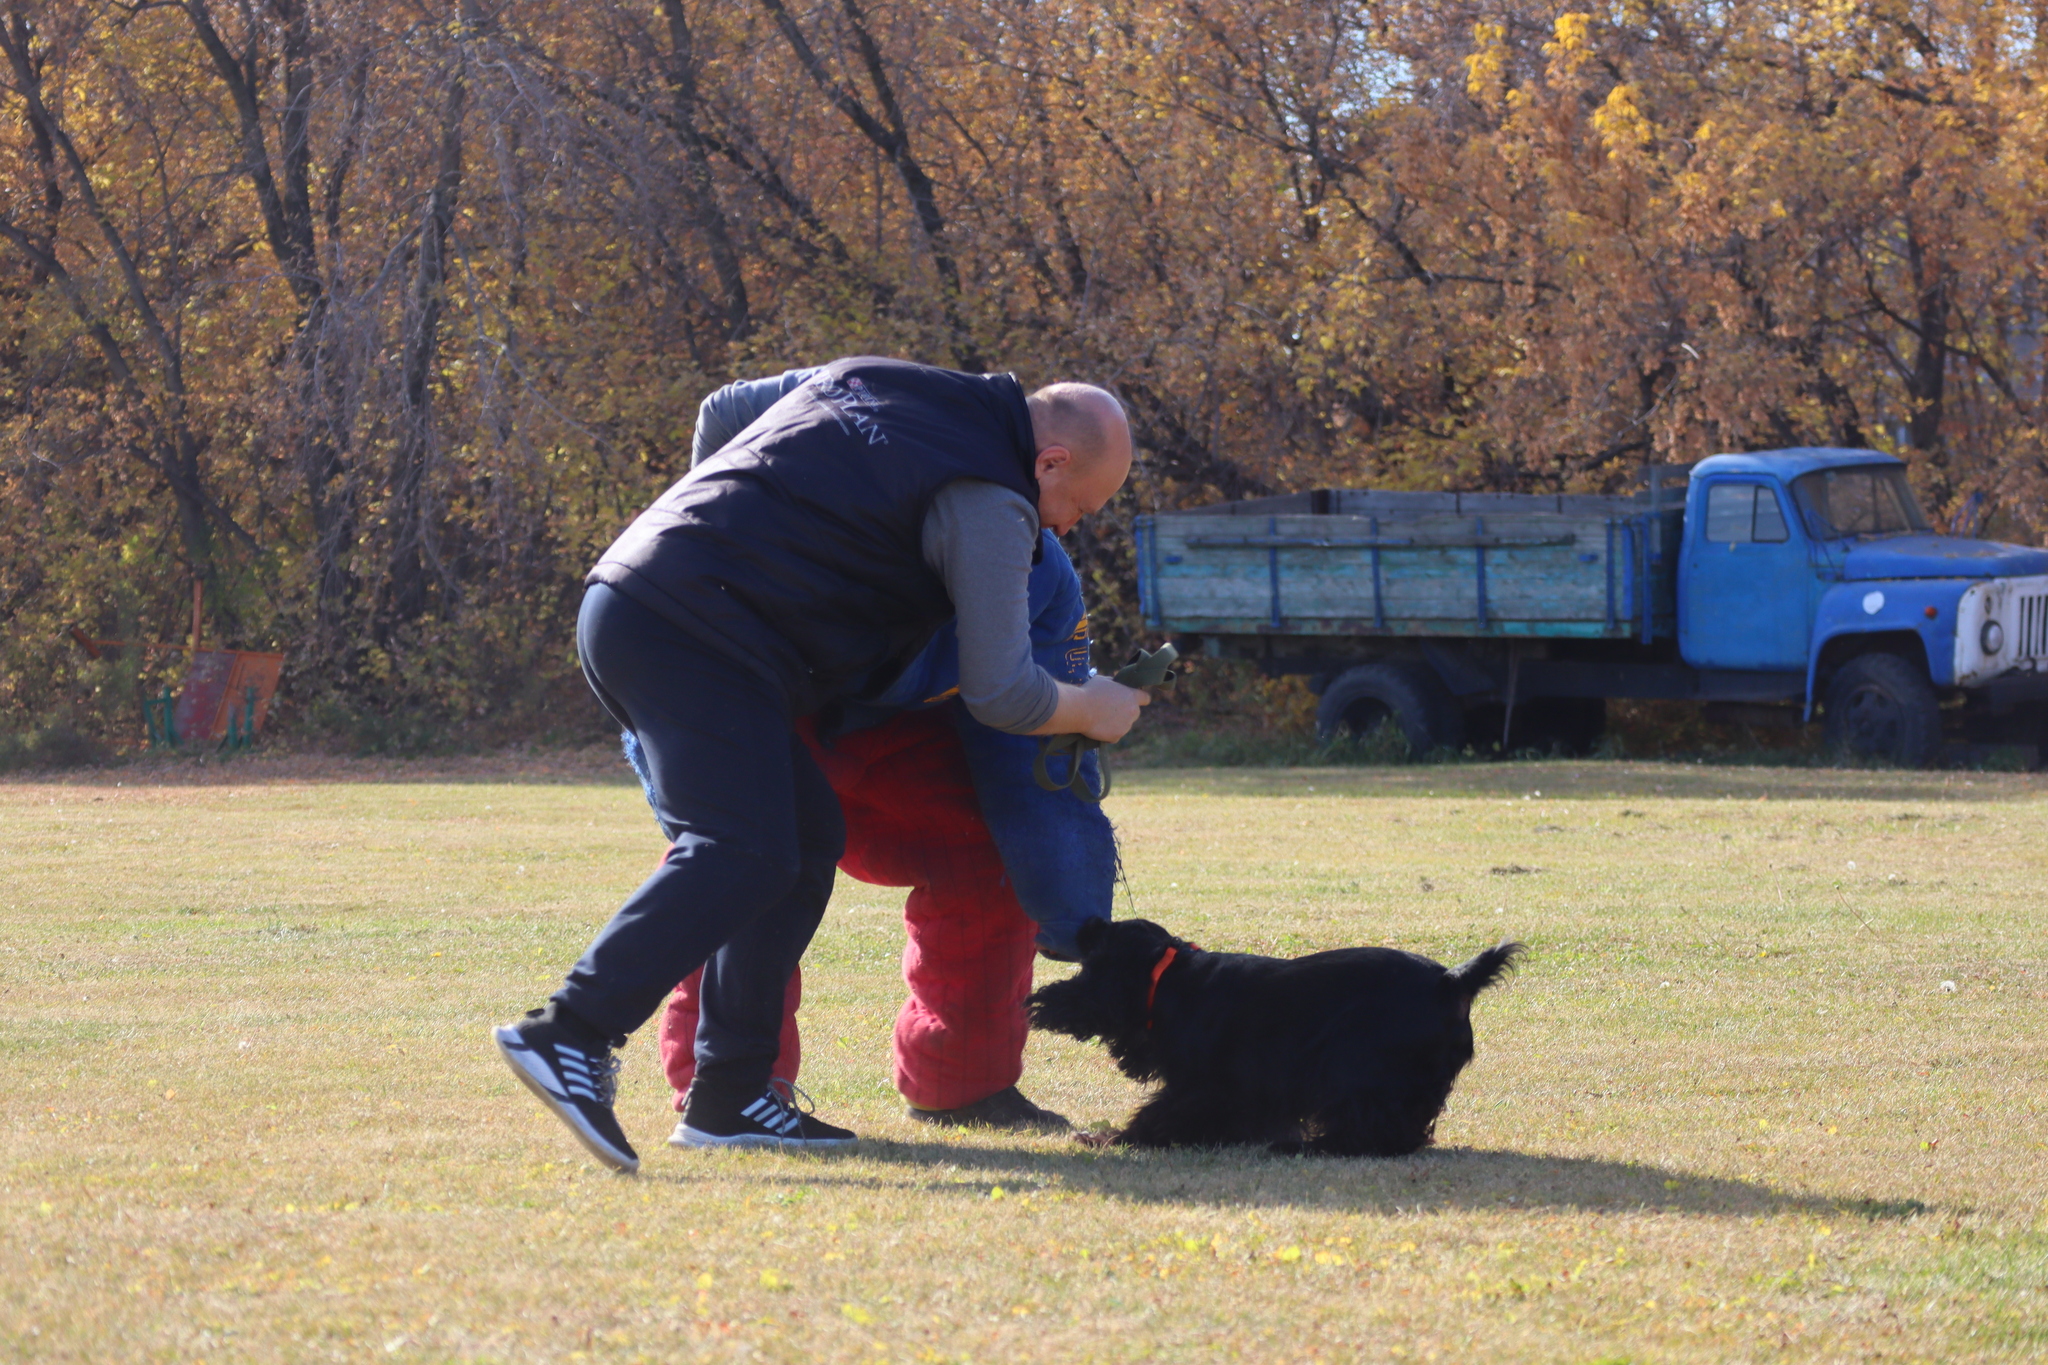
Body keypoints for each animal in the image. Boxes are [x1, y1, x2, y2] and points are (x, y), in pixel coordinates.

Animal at [1024, 916, 1523, 1154]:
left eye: (1092, 963)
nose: (1087, 922)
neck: (1172, 978)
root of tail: (1453, 980)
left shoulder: (1206, 1086)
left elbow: (1162, 1115)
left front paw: (1113, 1139)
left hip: (1359, 1070)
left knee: (1371, 1129)